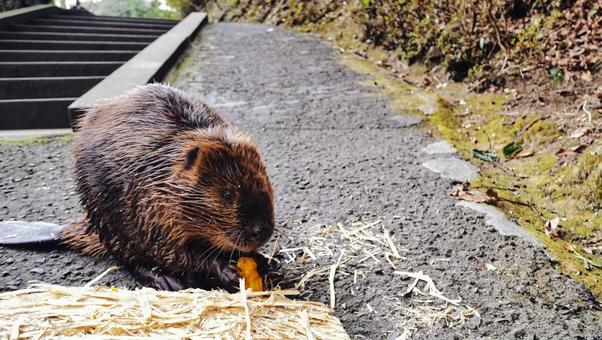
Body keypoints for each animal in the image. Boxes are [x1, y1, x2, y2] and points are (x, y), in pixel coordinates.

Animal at [52, 83, 274, 290]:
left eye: (264, 183)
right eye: (227, 194)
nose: (261, 230)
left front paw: (262, 259)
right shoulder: (149, 208)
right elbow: (174, 252)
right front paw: (226, 269)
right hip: (109, 225)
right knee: (131, 261)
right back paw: (168, 280)